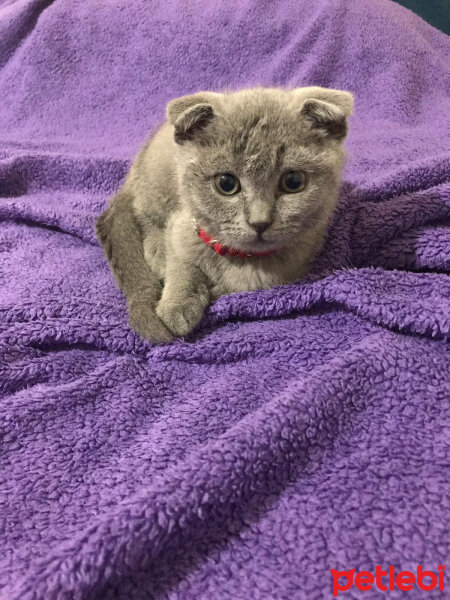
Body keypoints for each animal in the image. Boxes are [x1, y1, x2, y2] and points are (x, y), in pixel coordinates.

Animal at [96, 86, 354, 344]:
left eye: (293, 181)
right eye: (226, 184)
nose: (260, 222)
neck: (238, 257)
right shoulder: (183, 225)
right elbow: (181, 263)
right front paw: (177, 304)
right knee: (143, 212)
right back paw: (157, 251)